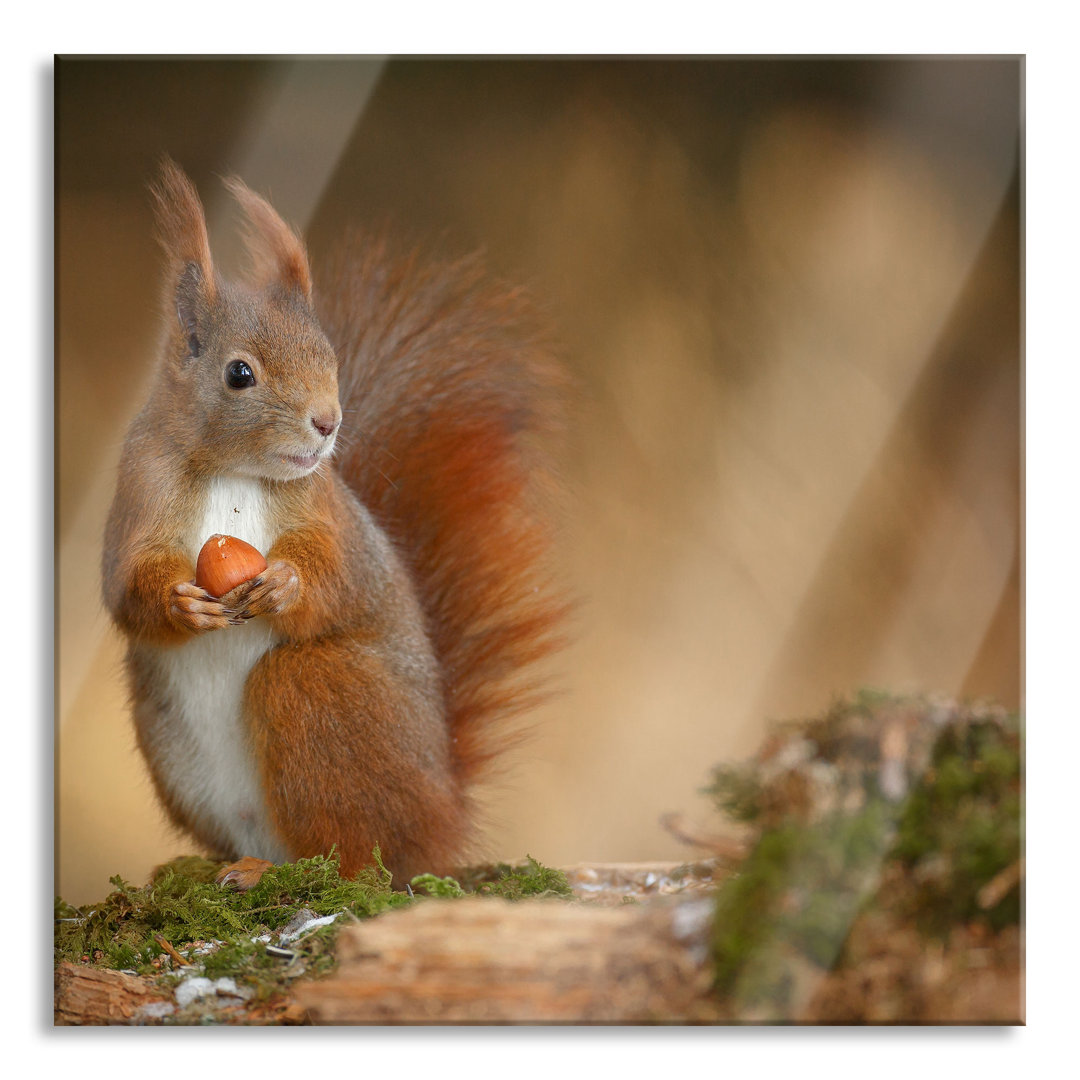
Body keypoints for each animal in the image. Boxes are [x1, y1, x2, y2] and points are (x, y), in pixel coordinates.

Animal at [104, 157, 570, 885]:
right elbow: (125, 589)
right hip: (173, 750)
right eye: (240, 373)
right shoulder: (139, 492)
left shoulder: (327, 512)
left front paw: (287, 585)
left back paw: (290, 871)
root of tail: (443, 818)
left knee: (354, 856)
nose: (327, 422)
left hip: (320, 694)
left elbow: (339, 576)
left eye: (329, 356)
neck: (233, 471)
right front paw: (181, 604)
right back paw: (239, 867)